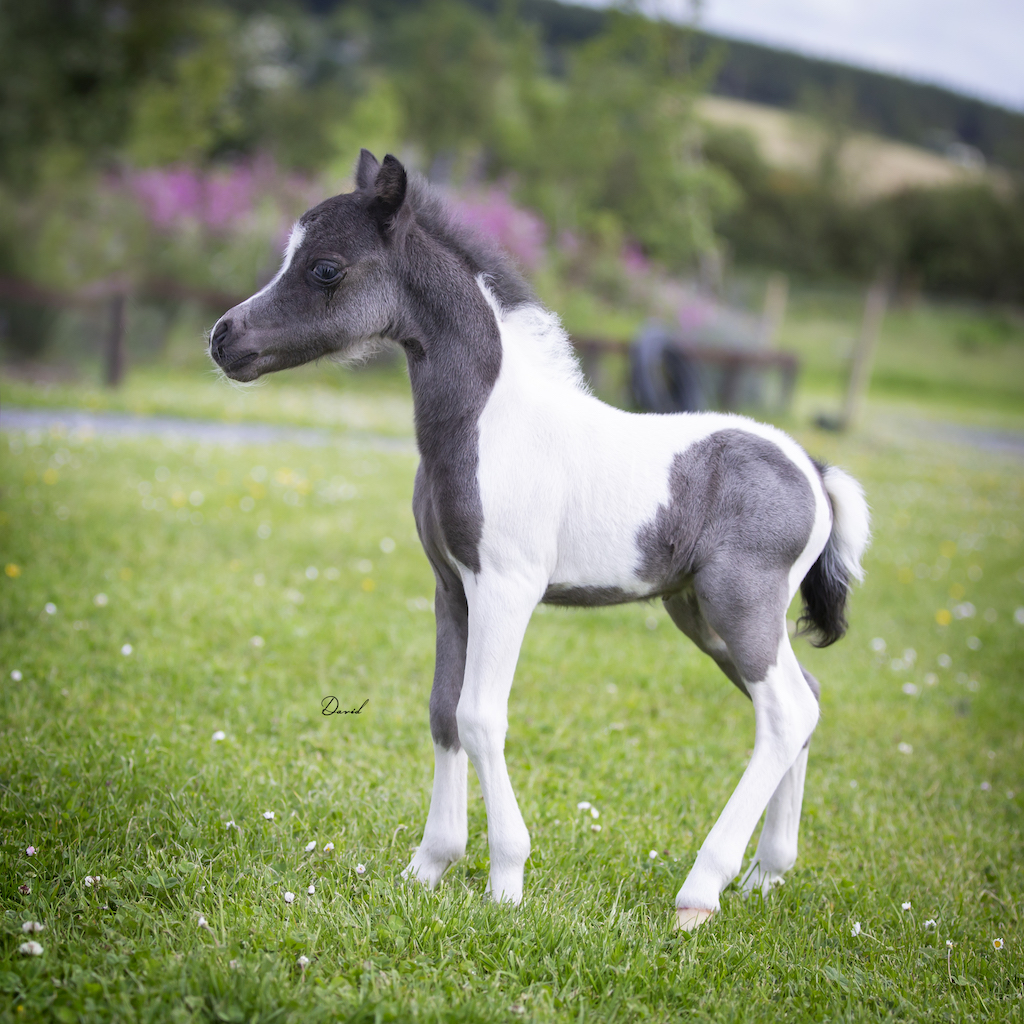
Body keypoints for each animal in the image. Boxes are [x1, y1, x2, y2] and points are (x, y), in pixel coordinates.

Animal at [210, 150, 870, 930]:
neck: (487, 424)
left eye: (325, 269)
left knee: (785, 712)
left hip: (740, 604)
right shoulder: (451, 587)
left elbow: (479, 716)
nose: (222, 338)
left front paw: (506, 879)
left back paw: (701, 892)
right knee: (806, 701)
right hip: (702, 615)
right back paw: (766, 875)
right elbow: (443, 712)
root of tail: (814, 470)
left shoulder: (507, 587)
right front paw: (428, 866)